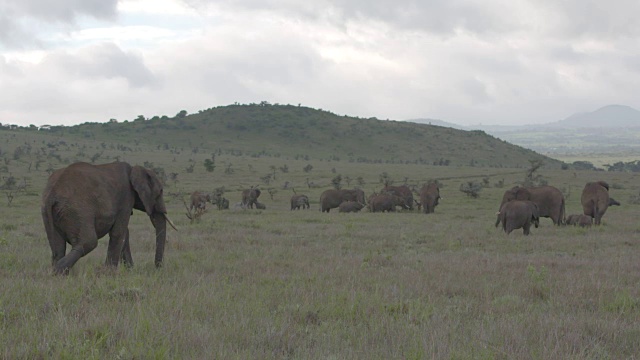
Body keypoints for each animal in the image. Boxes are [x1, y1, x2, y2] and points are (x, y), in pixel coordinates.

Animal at [41, 162, 178, 274]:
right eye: (160, 192)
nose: (157, 268)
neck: (134, 169)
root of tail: (52, 194)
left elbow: (124, 233)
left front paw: (130, 271)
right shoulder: (126, 197)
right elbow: (119, 232)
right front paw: (109, 272)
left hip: (50, 213)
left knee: (58, 246)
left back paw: (57, 272)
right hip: (77, 211)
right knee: (89, 241)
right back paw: (58, 270)